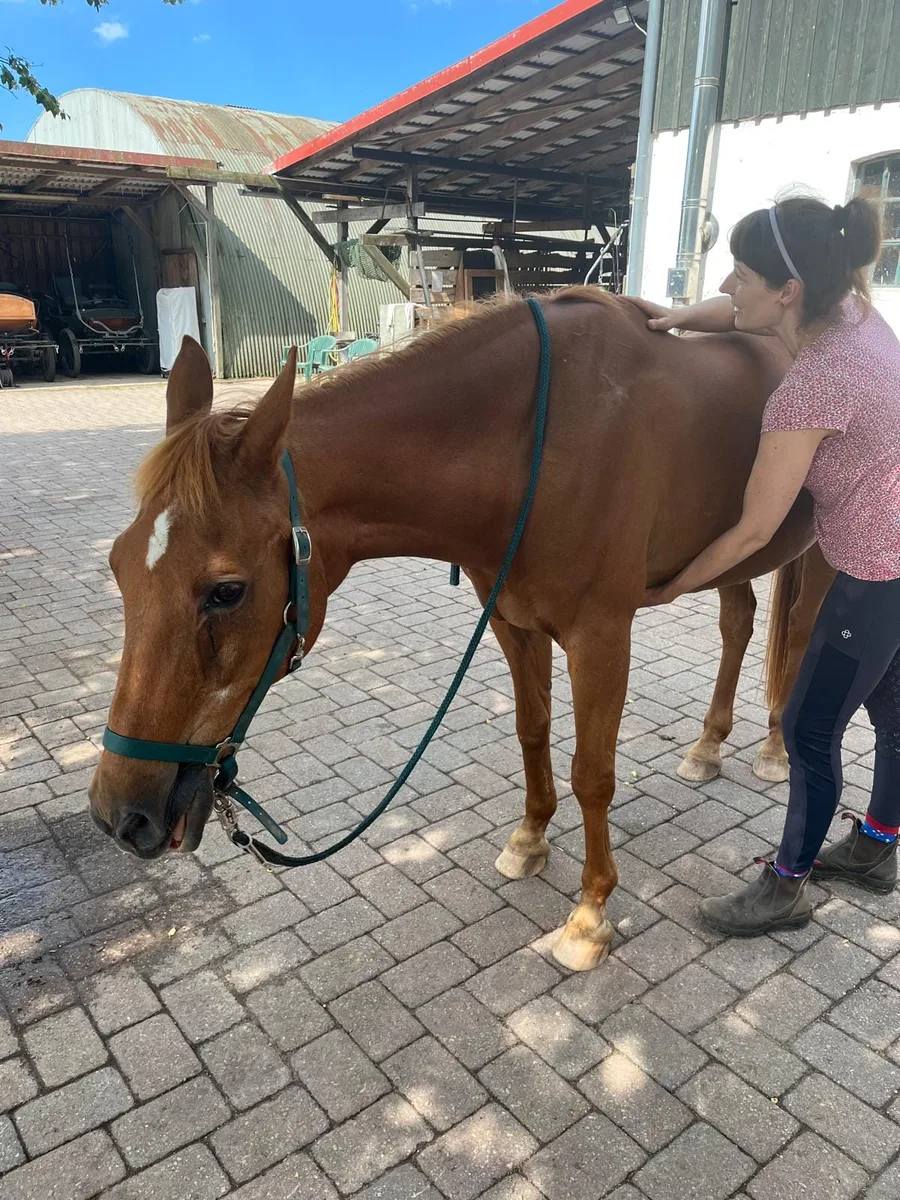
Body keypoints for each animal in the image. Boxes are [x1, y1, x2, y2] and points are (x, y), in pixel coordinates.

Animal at [88, 287, 833, 974]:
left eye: (227, 591)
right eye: (118, 565)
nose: (121, 817)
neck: (543, 443)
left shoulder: (601, 636)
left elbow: (593, 773)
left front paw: (590, 914)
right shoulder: (512, 622)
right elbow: (531, 732)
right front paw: (529, 840)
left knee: (799, 641)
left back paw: (774, 748)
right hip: (737, 554)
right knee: (738, 624)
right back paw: (708, 747)